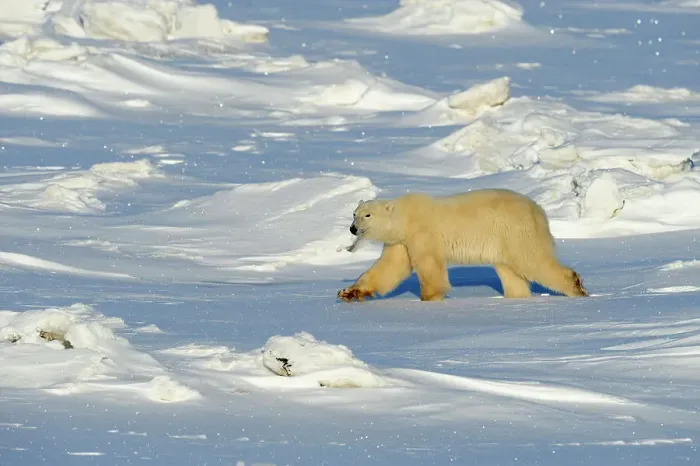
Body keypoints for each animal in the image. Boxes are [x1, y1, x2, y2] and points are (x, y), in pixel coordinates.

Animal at [337, 189, 589, 302]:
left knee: (533, 260)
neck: (405, 217)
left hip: (515, 232)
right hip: (503, 243)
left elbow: (429, 264)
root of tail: (539, 211)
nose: (352, 229)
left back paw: (575, 286)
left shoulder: (422, 232)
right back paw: (517, 297)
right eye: (354, 213)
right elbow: (388, 268)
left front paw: (429, 297)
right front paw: (349, 292)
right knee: (511, 273)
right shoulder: (400, 242)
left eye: (367, 215)